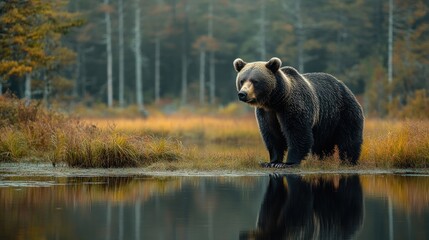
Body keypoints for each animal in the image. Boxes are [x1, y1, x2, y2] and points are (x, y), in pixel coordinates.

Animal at [232, 58, 362, 167]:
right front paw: (271, 162)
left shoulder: (292, 106)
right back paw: (323, 159)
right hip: (325, 124)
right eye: (242, 80)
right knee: (322, 145)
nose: (242, 94)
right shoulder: (266, 113)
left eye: (255, 81)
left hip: (344, 112)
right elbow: (271, 135)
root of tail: (345, 86)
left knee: (349, 138)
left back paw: (348, 160)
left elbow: (297, 132)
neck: (275, 100)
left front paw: (288, 163)